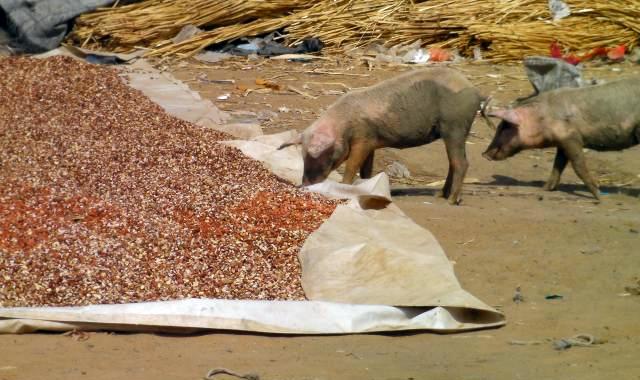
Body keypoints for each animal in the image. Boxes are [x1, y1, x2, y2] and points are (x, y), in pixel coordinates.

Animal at [278, 68, 482, 205]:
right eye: (303, 156)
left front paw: (345, 186)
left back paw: (451, 201)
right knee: (453, 163)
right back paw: (440, 195)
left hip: (455, 126)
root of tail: (474, 90)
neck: (344, 125)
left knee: (462, 163)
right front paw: (367, 186)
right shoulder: (371, 143)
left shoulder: (363, 139)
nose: (304, 185)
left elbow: (352, 166)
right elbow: (366, 170)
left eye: (317, 156)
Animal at [484, 78, 640, 202]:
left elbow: (578, 166)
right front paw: (543, 189)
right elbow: (557, 166)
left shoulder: (571, 138)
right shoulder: (562, 143)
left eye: (504, 127)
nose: (484, 154)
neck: (542, 118)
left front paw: (599, 197)